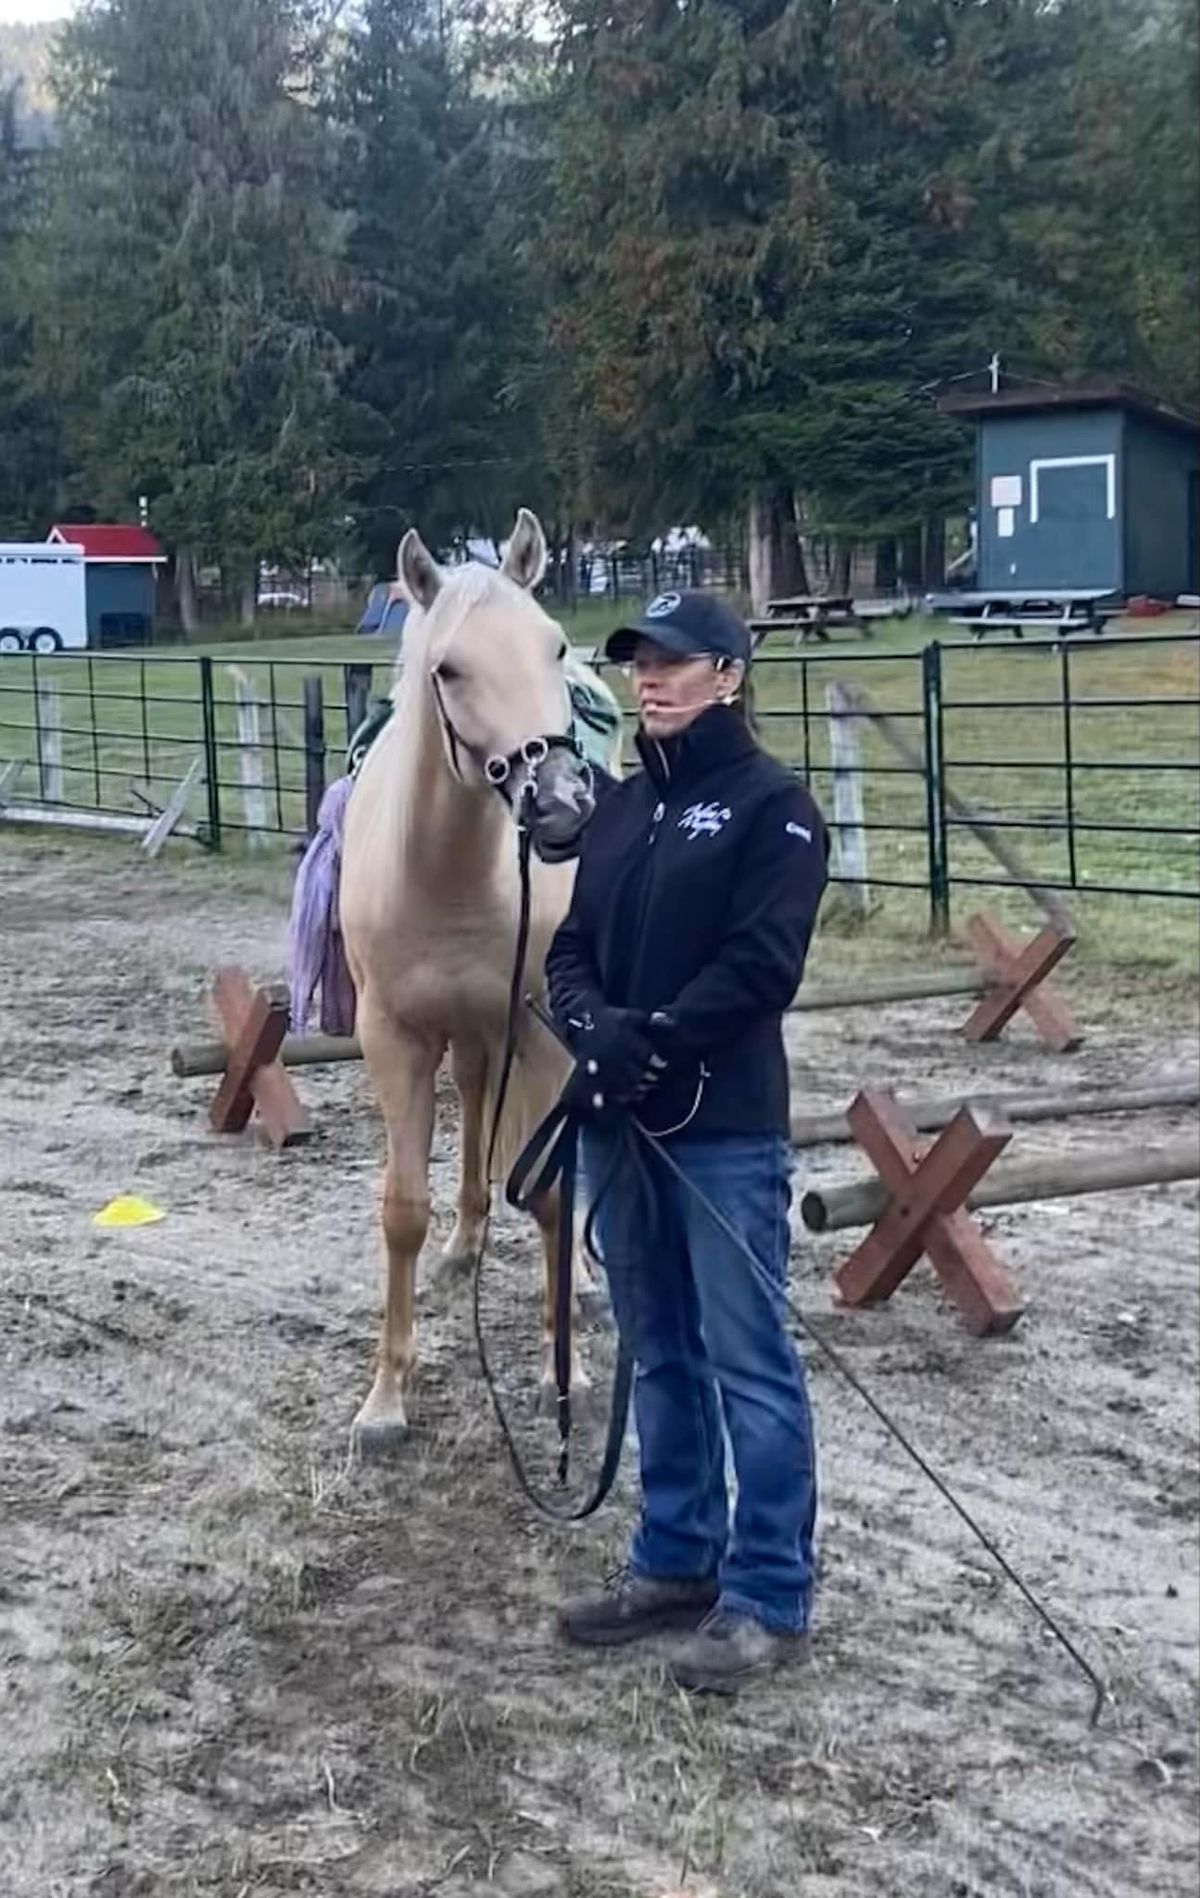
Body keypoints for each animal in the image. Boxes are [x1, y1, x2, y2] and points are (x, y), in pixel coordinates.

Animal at [337, 508, 618, 1450]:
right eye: (448, 668)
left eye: (554, 646)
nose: (563, 803)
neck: (451, 873)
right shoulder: (394, 1040)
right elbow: (403, 1209)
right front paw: (386, 1398)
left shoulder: (540, 1033)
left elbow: (553, 1194)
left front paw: (562, 1371)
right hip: (466, 1036)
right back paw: (465, 1244)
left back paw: (590, 1284)